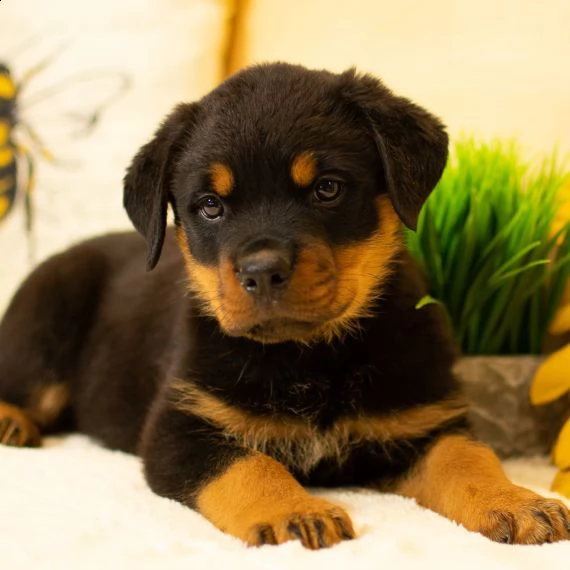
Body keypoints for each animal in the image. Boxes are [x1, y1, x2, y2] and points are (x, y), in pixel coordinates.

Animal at [1, 64, 568, 548]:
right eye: (210, 206)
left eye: (327, 188)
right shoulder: (178, 428)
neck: (309, 356)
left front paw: (517, 502)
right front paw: (295, 511)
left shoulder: (423, 420)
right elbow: (249, 465)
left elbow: (467, 457)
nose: (261, 271)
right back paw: (13, 421)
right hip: (46, 314)